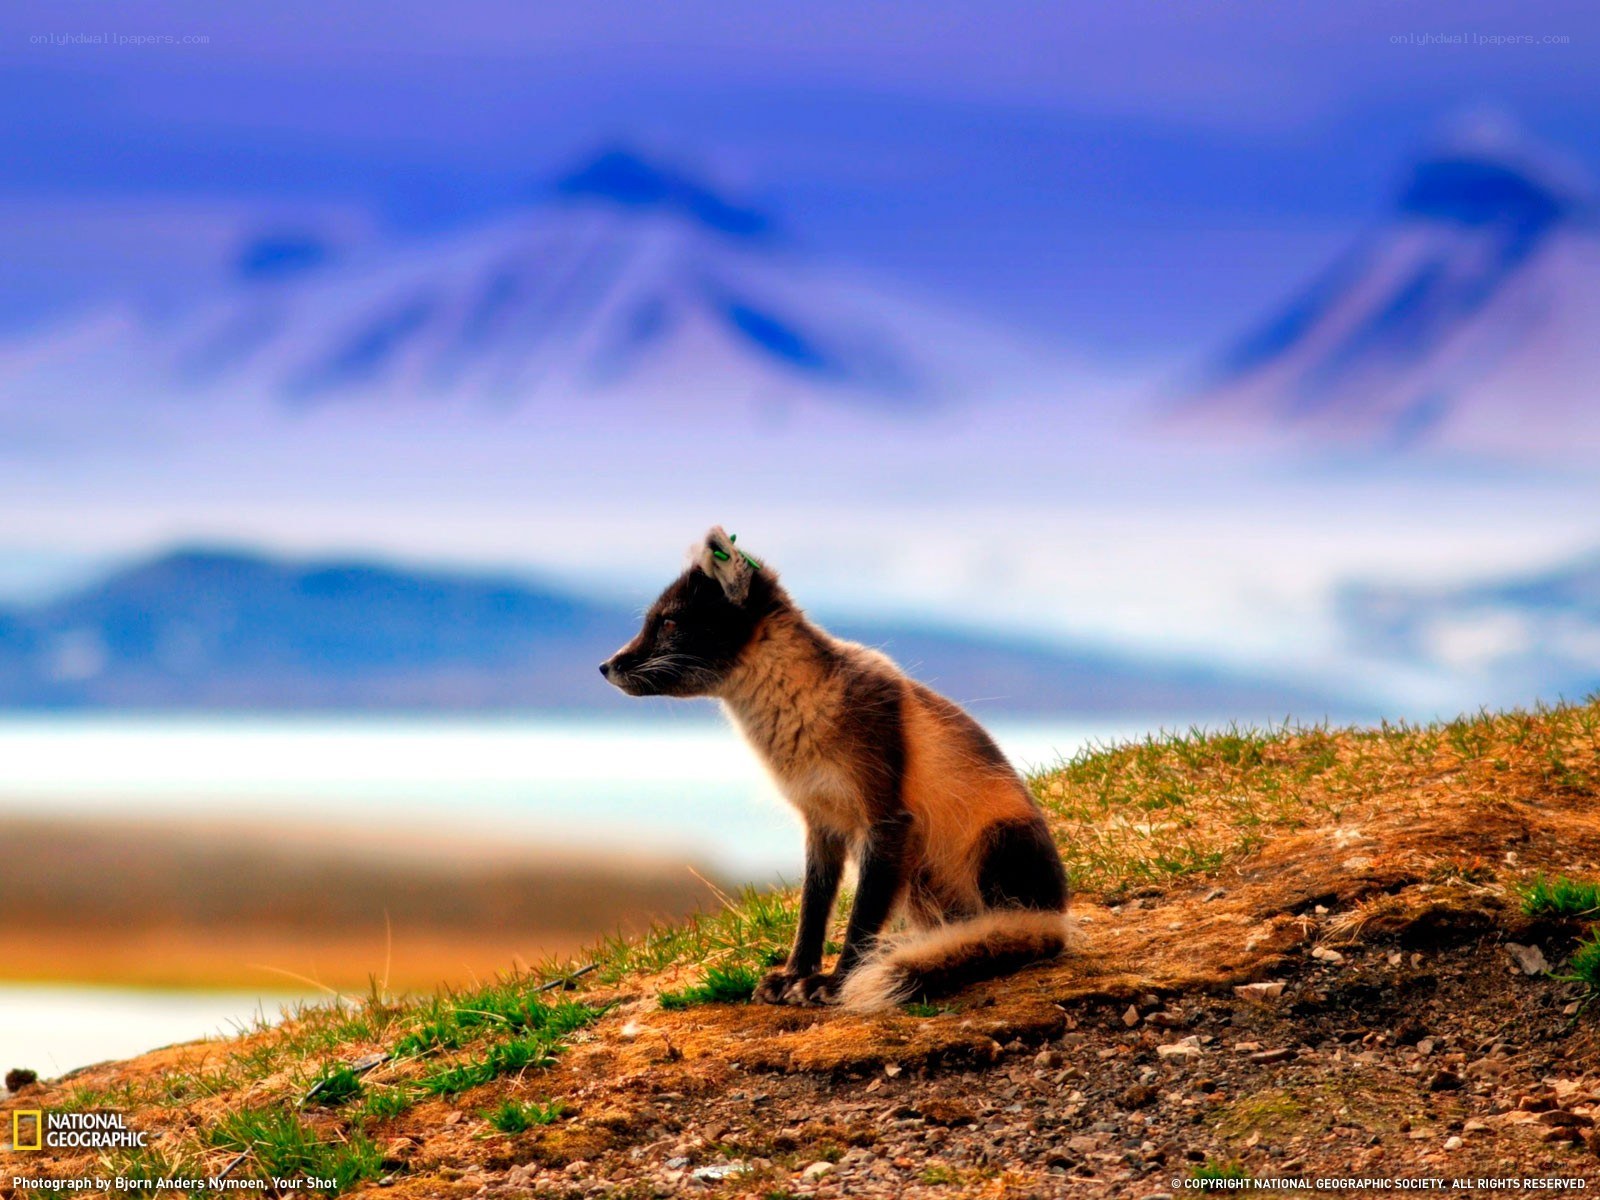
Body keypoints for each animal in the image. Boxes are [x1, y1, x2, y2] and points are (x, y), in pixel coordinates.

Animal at [599, 527, 1070, 1012]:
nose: (604, 666)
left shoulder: (884, 820)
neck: (800, 721)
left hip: (996, 843)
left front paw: (836, 983)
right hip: (918, 882)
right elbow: (813, 910)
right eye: (652, 622)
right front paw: (795, 976)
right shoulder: (820, 822)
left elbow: (861, 921)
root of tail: (1056, 919)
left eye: (669, 624)